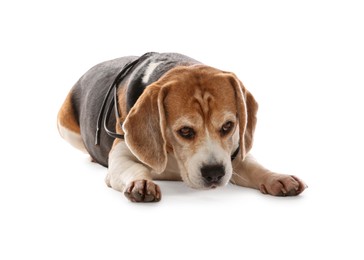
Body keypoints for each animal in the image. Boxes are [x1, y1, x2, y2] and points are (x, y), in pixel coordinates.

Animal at [57, 51, 308, 202]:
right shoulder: (121, 156)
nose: (215, 173)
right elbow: (134, 168)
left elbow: (255, 167)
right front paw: (141, 183)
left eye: (228, 126)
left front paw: (277, 178)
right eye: (185, 131)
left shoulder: (233, 154)